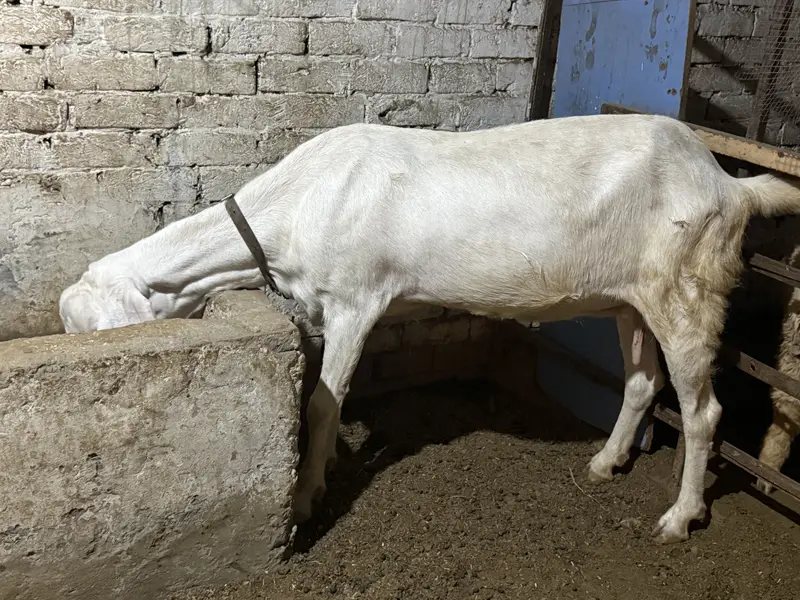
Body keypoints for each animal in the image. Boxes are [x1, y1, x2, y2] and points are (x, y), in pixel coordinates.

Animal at [59, 113, 800, 544]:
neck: (295, 207)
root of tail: (729, 184)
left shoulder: (356, 300)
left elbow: (323, 403)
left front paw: (307, 497)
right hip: (634, 297)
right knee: (644, 382)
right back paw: (605, 462)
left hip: (689, 287)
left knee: (704, 411)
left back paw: (679, 517)